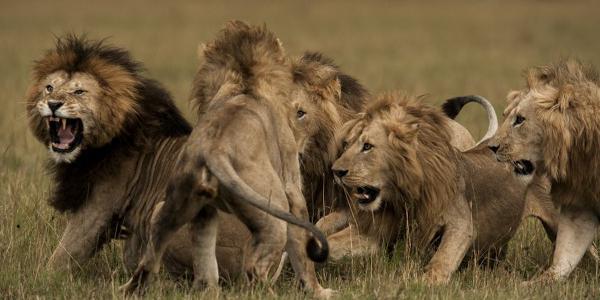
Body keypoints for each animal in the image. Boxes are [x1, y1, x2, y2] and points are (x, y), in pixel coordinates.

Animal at [26, 35, 258, 282]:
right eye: (49, 88)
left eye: (79, 91)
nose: (52, 104)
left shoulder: (98, 205)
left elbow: (62, 255)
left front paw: (41, 278)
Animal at [118, 21, 332, 298]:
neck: (244, 80)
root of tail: (215, 150)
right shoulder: (293, 187)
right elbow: (303, 252)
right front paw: (318, 291)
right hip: (274, 212)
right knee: (254, 267)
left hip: (176, 205)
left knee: (159, 257)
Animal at [330, 92, 556, 284]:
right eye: (347, 144)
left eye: (367, 146)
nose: (336, 171)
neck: (404, 196)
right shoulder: (379, 230)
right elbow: (334, 242)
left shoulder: (461, 223)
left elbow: (441, 261)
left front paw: (423, 282)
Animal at [490, 58, 600, 282]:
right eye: (506, 116)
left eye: (520, 119)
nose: (492, 147)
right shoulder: (580, 205)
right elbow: (565, 254)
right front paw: (536, 283)